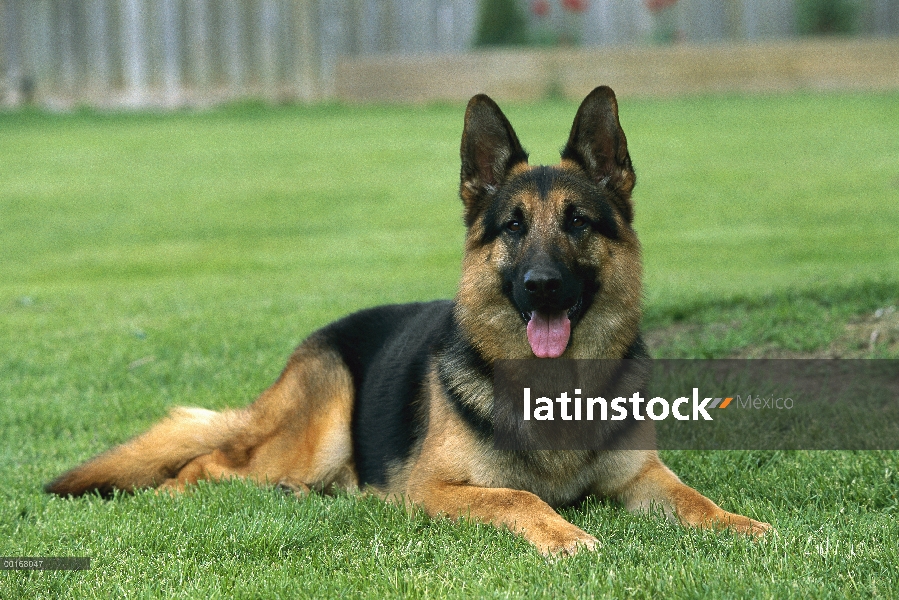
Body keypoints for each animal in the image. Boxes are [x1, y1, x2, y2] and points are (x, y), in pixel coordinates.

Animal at [45, 86, 768, 556]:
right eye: (513, 228)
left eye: (578, 224)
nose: (540, 287)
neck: (553, 389)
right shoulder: (435, 490)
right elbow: (518, 497)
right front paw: (565, 535)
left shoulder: (643, 478)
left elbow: (695, 500)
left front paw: (739, 523)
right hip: (316, 430)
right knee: (206, 465)